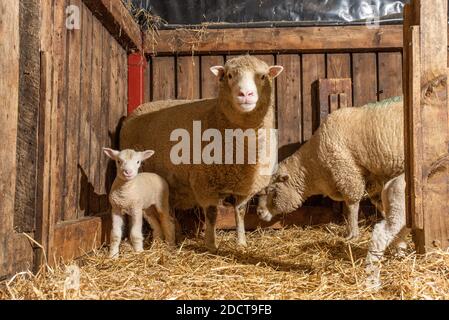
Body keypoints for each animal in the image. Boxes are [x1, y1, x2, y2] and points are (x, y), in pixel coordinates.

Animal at [121, 55, 282, 252]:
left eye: (263, 76)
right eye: (229, 75)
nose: (245, 94)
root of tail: (138, 109)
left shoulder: (245, 186)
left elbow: (240, 212)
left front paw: (241, 242)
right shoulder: (205, 183)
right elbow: (212, 214)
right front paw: (211, 245)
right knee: (150, 214)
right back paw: (160, 241)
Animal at [254, 95, 408, 264]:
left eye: (272, 190)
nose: (259, 213)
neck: (312, 169)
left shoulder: (348, 173)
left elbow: (352, 205)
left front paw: (352, 234)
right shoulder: (374, 177)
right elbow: (379, 202)